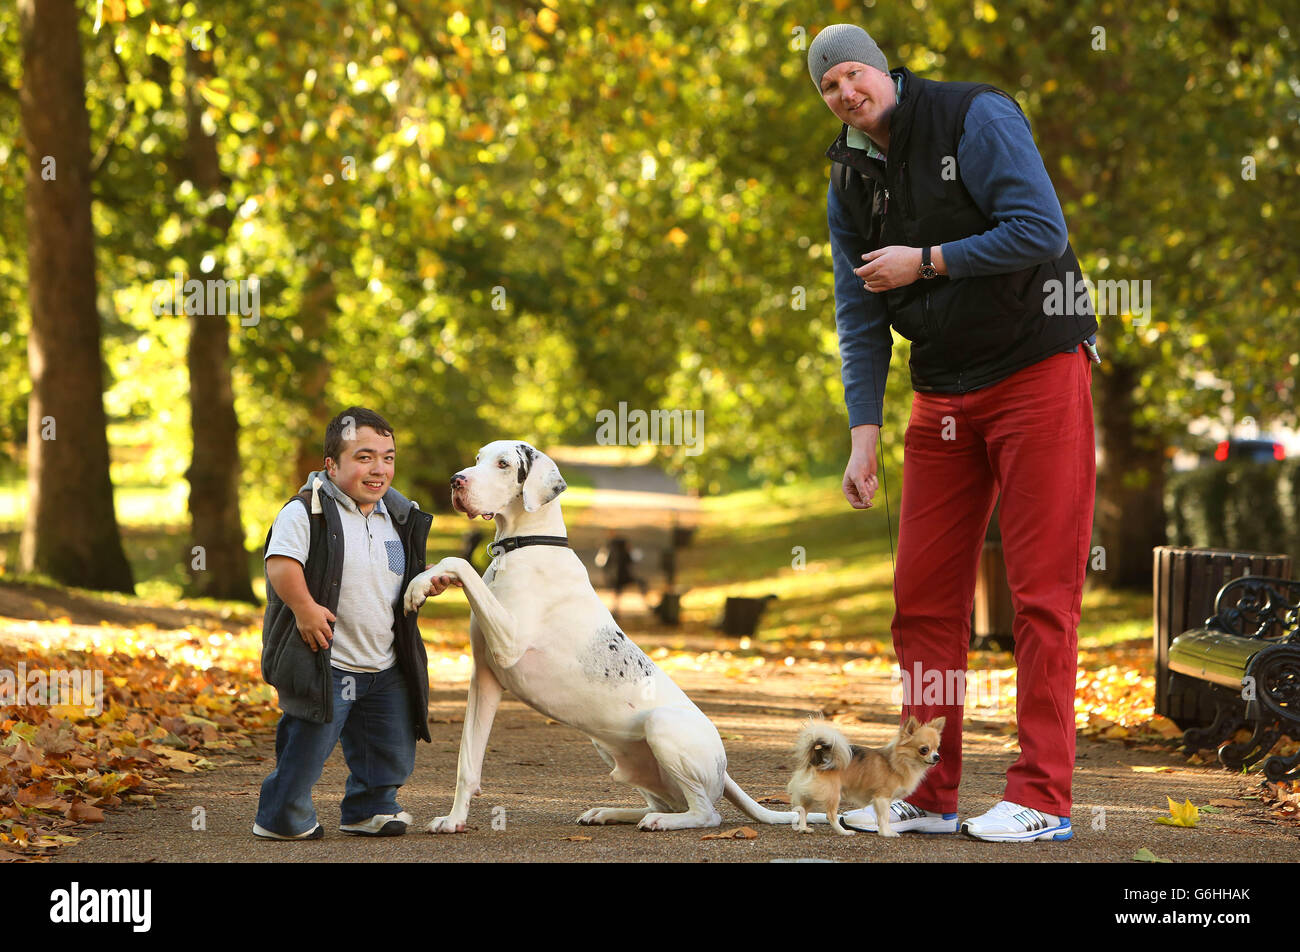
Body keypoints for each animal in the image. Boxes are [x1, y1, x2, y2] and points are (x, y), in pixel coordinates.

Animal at [403, 442, 800, 827]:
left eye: (503, 464)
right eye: (478, 458)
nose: (456, 481)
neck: (526, 546)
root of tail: (725, 769)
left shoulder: (507, 643)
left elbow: (459, 561)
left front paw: (418, 585)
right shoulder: (485, 678)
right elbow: (467, 762)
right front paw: (454, 819)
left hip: (662, 725)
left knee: (705, 813)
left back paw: (661, 821)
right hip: (614, 751)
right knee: (668, 802)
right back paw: (611, 813)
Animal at [780, 717, 946, 837]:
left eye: (937, 748)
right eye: (924, 749)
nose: (937, 757)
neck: (898, 761)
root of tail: (817, 758)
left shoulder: (880, 800)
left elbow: (880, 817)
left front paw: (882, 831)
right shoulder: (882, 798)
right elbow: (884, 818)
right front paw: (887, 833)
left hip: (811, 793)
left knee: (803, 810)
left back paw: (803, 828)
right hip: (833, 793)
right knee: (830, 816)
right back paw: (844, 832)